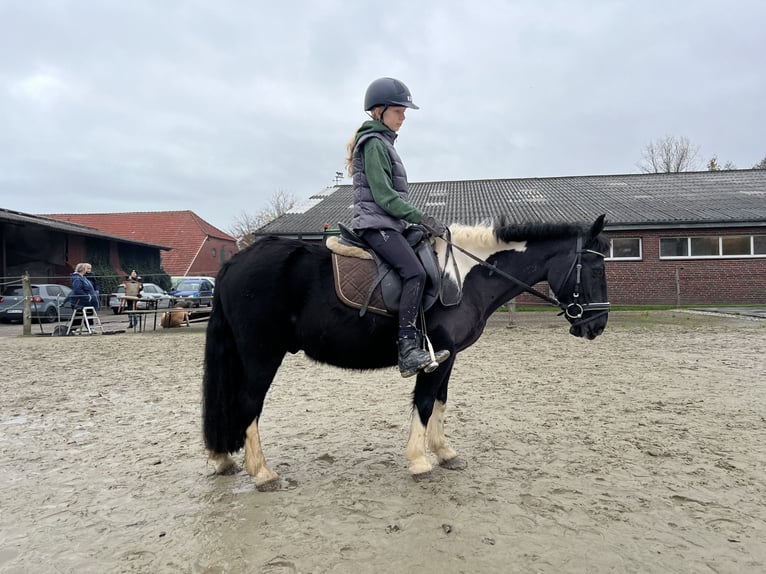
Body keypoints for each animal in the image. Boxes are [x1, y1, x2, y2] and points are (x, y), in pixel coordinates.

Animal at [206, 216, 612, 486]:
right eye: (594, 267)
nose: (597, 325)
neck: (465, 276)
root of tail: (235, 261)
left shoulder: (449, 356)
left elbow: (441, 402)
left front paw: (444, 452)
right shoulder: (436, 353)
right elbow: (425, 402)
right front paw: (419, 460)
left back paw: (224, 460)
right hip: (262, 355)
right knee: (248, 405)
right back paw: (262, 473)